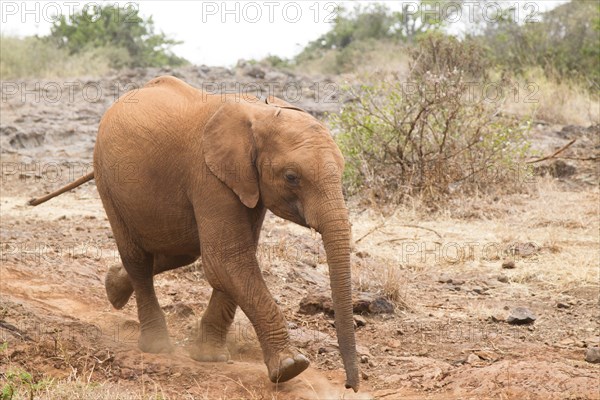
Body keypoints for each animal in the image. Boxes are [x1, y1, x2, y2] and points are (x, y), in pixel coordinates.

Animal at [29, 75, 356, 390]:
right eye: (291, 177)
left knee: (178, 251)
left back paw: (113, 287)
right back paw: (157, 346)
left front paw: (209, 357)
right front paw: (291, 367)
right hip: (107, 181)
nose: (350, 385)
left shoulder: (245, 183)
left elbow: (233, 258)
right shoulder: (209, 175)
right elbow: (227, 259)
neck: (259, 112)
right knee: (138, 258)